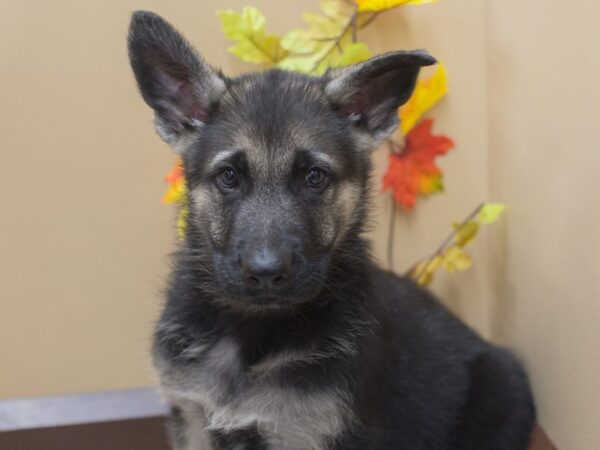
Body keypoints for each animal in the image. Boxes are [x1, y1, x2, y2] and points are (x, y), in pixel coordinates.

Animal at [126, 10, 536, 450]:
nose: (266, 274)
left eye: (315, 177)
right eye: (229, 177)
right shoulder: (192, 418)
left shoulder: (306, 432)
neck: (254, 332)